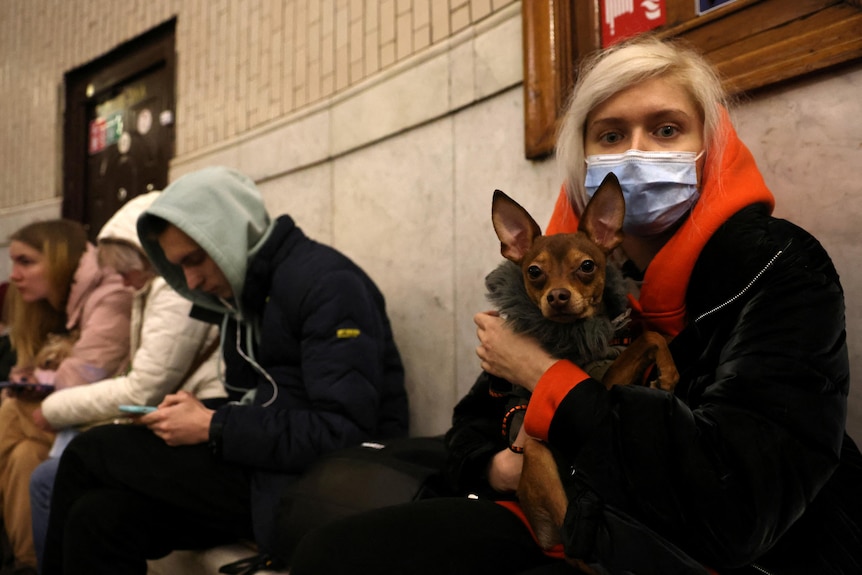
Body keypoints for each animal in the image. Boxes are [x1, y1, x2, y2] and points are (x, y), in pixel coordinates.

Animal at [492, 173, 680, 568]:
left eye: (587, 266)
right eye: (534, 272)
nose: (557, 296)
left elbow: (651, 336)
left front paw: (666, 363)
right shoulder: (605, 383)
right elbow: (650, 337)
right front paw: (669, 374)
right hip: (539, 456)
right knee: (571, 537)